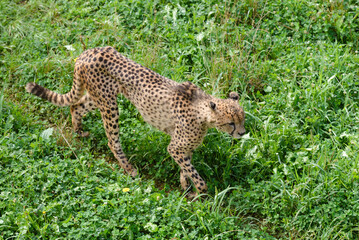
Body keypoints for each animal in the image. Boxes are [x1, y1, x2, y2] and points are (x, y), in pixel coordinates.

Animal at [24, 46, 245, 197]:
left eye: (242, 120)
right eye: (231, 123)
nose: (242, 133)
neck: (203, 112)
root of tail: (87, 53)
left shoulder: (183, 147)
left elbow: (186, 168)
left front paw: (185, 186)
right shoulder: (175, 146)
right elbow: (194, 174)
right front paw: (201, 194)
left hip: (100, 98)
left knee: (76, 106)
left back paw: (78, 131)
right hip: (109, 106)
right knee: (112, 140)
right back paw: (129, 168)